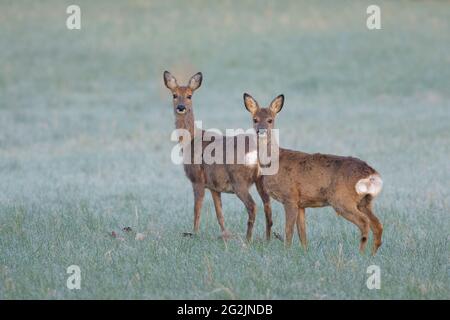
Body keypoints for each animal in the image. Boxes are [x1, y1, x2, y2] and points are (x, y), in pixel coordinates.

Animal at [163, 70, 272, 240]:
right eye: (174, 95)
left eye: (189, 95)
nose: (181, 107)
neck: (191, 141)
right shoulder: (214, 186)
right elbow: (219, 213)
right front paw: (225, 234)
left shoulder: (197, 178)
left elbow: (197, 209)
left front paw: (194, 233)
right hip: (261, 180)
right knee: (268, 205)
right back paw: (267, 239)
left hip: (239, 181)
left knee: (253, 206)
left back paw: (248, 239)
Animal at [243, 93, 384, 255]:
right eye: (255, 119)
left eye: (270, 120)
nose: (261, 130)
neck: (275, 161)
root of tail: (372, 173)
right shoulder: (301, 203)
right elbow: (302, 233)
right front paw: (304, 252)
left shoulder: (290, 197)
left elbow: (289, 231)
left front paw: (286, 251)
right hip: (365, 201)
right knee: (378, 225)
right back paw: (372, 255)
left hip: (342, 199)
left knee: (364, 223)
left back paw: (360, 253)